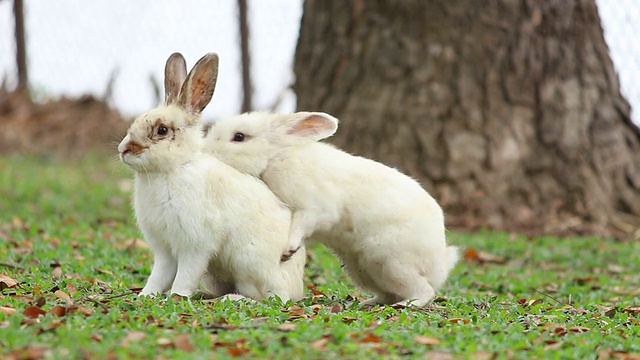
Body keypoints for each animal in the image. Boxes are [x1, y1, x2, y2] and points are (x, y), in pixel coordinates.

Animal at [118, 53, 308, 300]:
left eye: (162, 130)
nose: (123, 149)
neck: (174, 168)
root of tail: (296, 290)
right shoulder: (164, 250)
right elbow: (159, 275)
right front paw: (146, 295)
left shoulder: (195, 245)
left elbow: (186, 274)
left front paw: (177, 296)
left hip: (247, 264)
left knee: (270, 297)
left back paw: (232, 298)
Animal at [202, 111, 458, 306]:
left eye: (239, 137)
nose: (207, 151)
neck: (276, 156)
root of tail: (439, 264)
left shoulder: (313, 209)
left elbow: (300, 225)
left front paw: (288, 251)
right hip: (367, 270)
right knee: (388, 293)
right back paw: (368, 303)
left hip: (394, 264)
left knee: (424, 291)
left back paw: (406, 305)